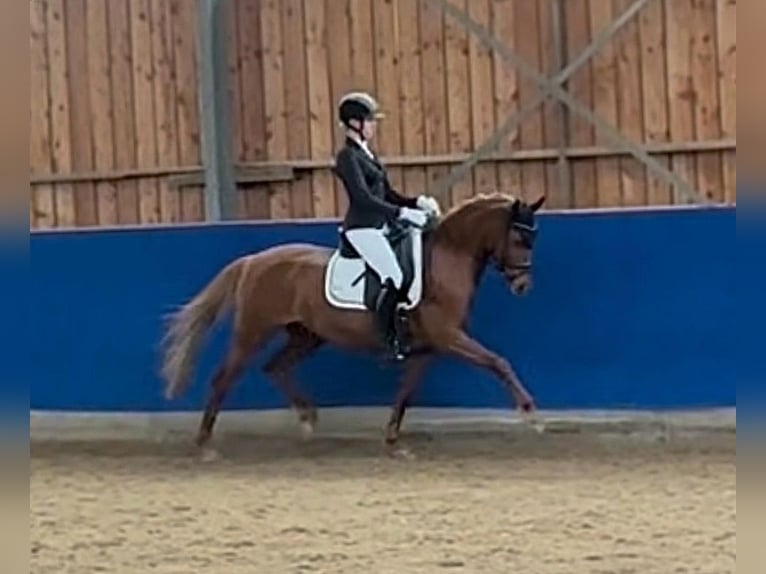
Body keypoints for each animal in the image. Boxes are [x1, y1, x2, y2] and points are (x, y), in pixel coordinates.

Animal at [160, 194, 544, 454]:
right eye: (518, 239)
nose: (523, 286)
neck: (446, 260)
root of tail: (253, 261)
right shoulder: (449, 336)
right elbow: (498, 362)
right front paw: (531, 415)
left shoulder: (430, 346)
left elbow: (407, 390)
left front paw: (392, 438)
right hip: (253, 331)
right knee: (224, 378)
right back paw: (205, 443)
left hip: (306, 336)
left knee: (274, 367)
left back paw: (307, 420)